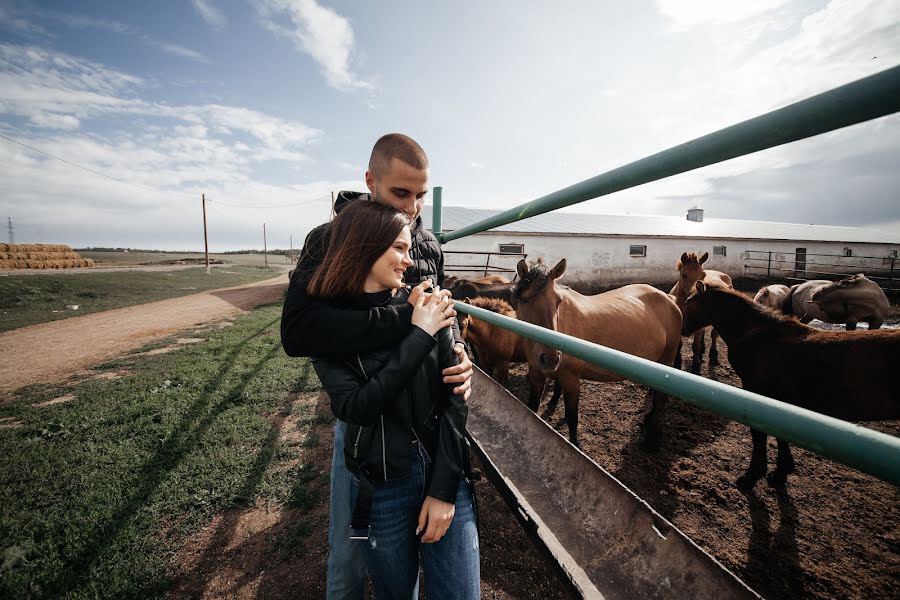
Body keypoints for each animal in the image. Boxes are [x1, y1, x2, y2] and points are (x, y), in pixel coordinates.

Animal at [510, 258, 680, 446]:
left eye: (558, 302)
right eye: (524, 300)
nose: (550, 359)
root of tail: (668, 298)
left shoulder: (571, 379)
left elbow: (572, 417)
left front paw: (574, 444)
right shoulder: (536, 374)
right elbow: (533, 406)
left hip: (666, 360)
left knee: (661, 398)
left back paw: (653, 439)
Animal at [684, 278, 900, 490]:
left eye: (688, 302)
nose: (683, 329)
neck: (758, 334)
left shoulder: (758, 390)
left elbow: (760, 433)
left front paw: (753, 475)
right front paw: (781, 472)